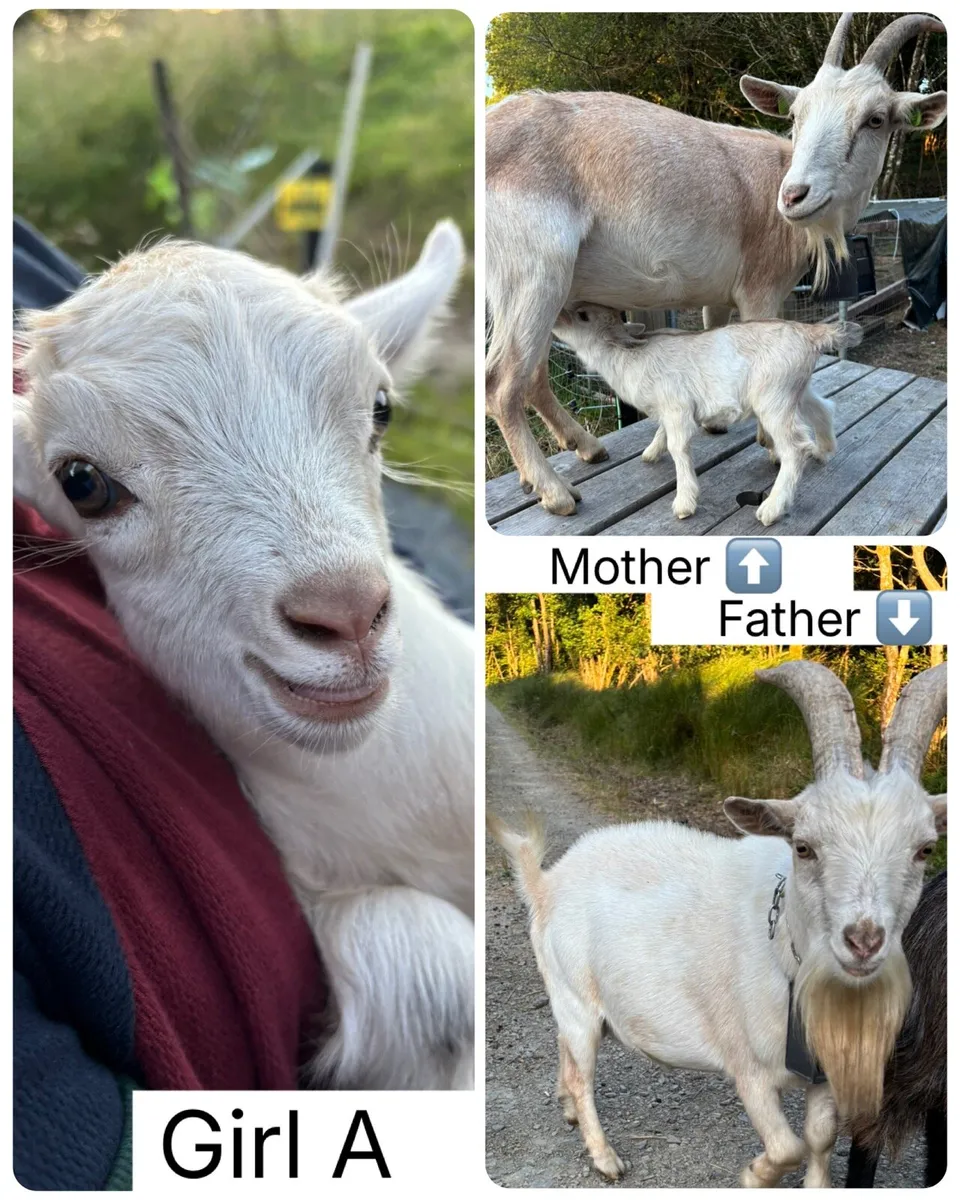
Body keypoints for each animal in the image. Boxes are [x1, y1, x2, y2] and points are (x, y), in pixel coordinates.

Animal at [553, 304, 862, 524]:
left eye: (582, 315)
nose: (555, 316)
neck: (629, 355)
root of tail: (811, 334)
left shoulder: (676, 406)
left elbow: (678, 447)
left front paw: (684, 503)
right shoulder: (669, 408)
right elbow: (662, 432)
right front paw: (651, 453)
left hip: (773, 398)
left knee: (794, 448)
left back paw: (772, 509)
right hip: (795, 389)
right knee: (823, 408)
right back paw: (823, 451)